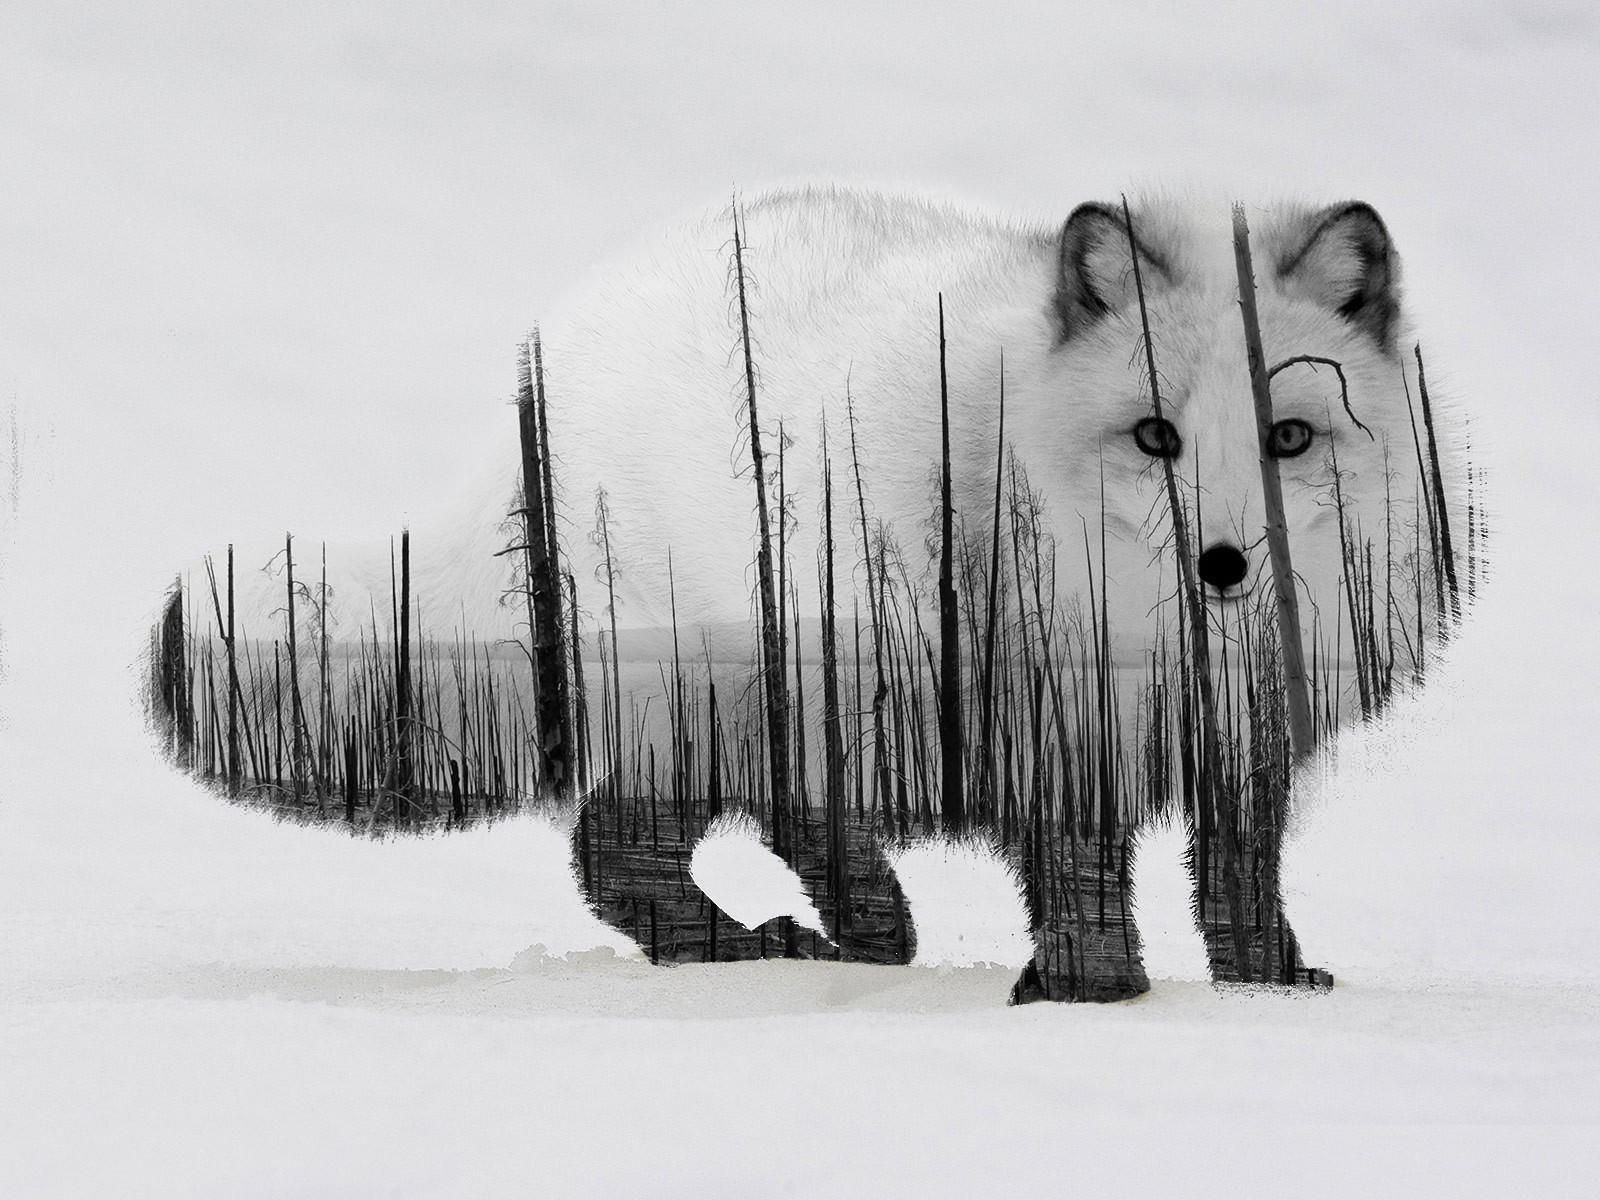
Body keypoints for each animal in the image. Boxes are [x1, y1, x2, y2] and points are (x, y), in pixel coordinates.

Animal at [152, 186, 1470, 1002]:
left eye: (1288, 438)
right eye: (1154, 437)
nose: (1226, 566)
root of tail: (548, 358)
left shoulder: (1243, 740)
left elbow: (1242, 880)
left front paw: (1265, 994)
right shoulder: (1047, 720)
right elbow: (1083, 877)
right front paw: (1101, 997)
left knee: (719, 830)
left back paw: (848, 935)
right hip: (728, 684)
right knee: (615, 846)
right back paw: (772, 948)